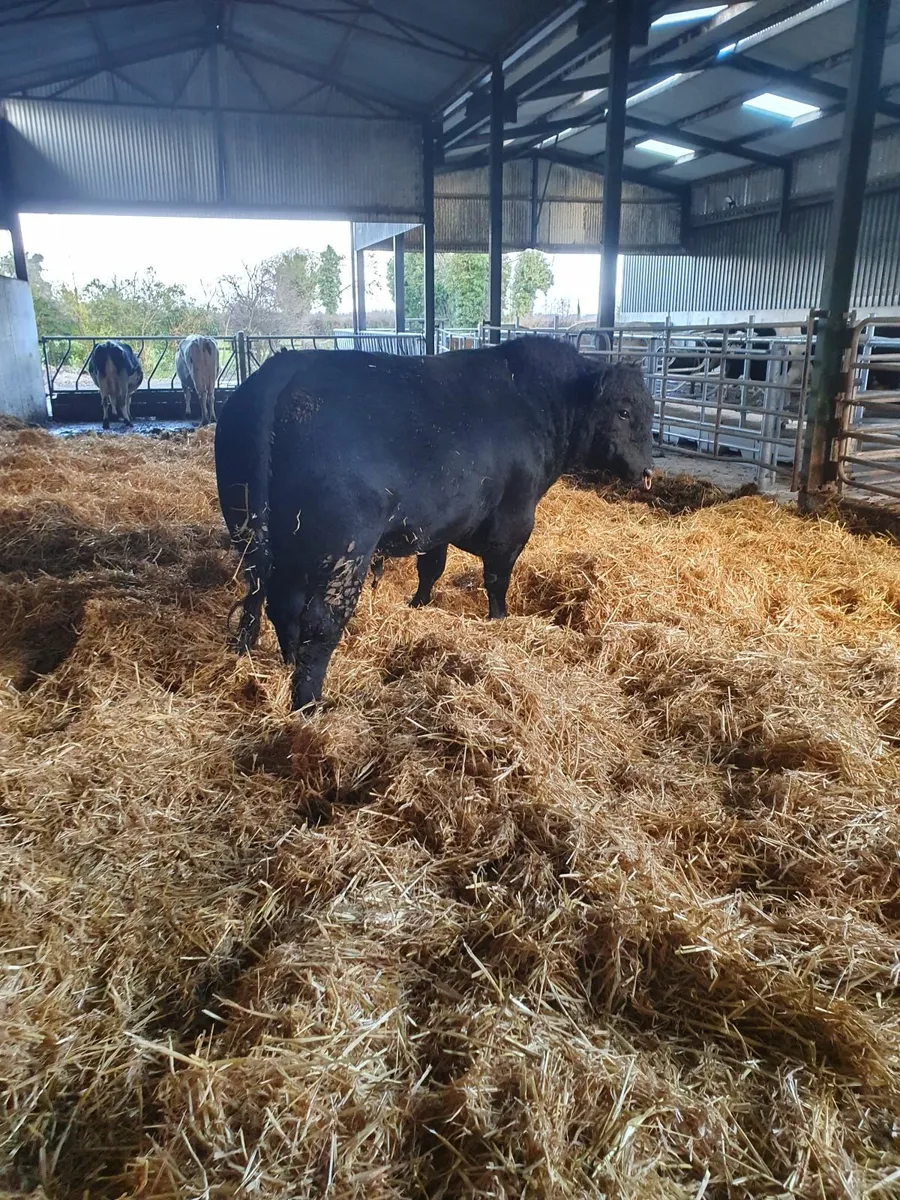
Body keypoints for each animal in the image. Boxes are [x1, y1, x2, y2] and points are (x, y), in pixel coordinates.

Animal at [215, 338, 655, 711]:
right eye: (623, 410)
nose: (647, 470)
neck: (541, 404)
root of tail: (281, 371)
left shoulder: (438, 523)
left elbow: (431, 568)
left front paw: (419, 604)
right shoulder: (513, 522)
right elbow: (497, 579)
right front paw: (499, 620)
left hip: (263, 542)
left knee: (276, 605)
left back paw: (285, 662)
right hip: (343, 551)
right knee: (319, 622)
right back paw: (308, 704)